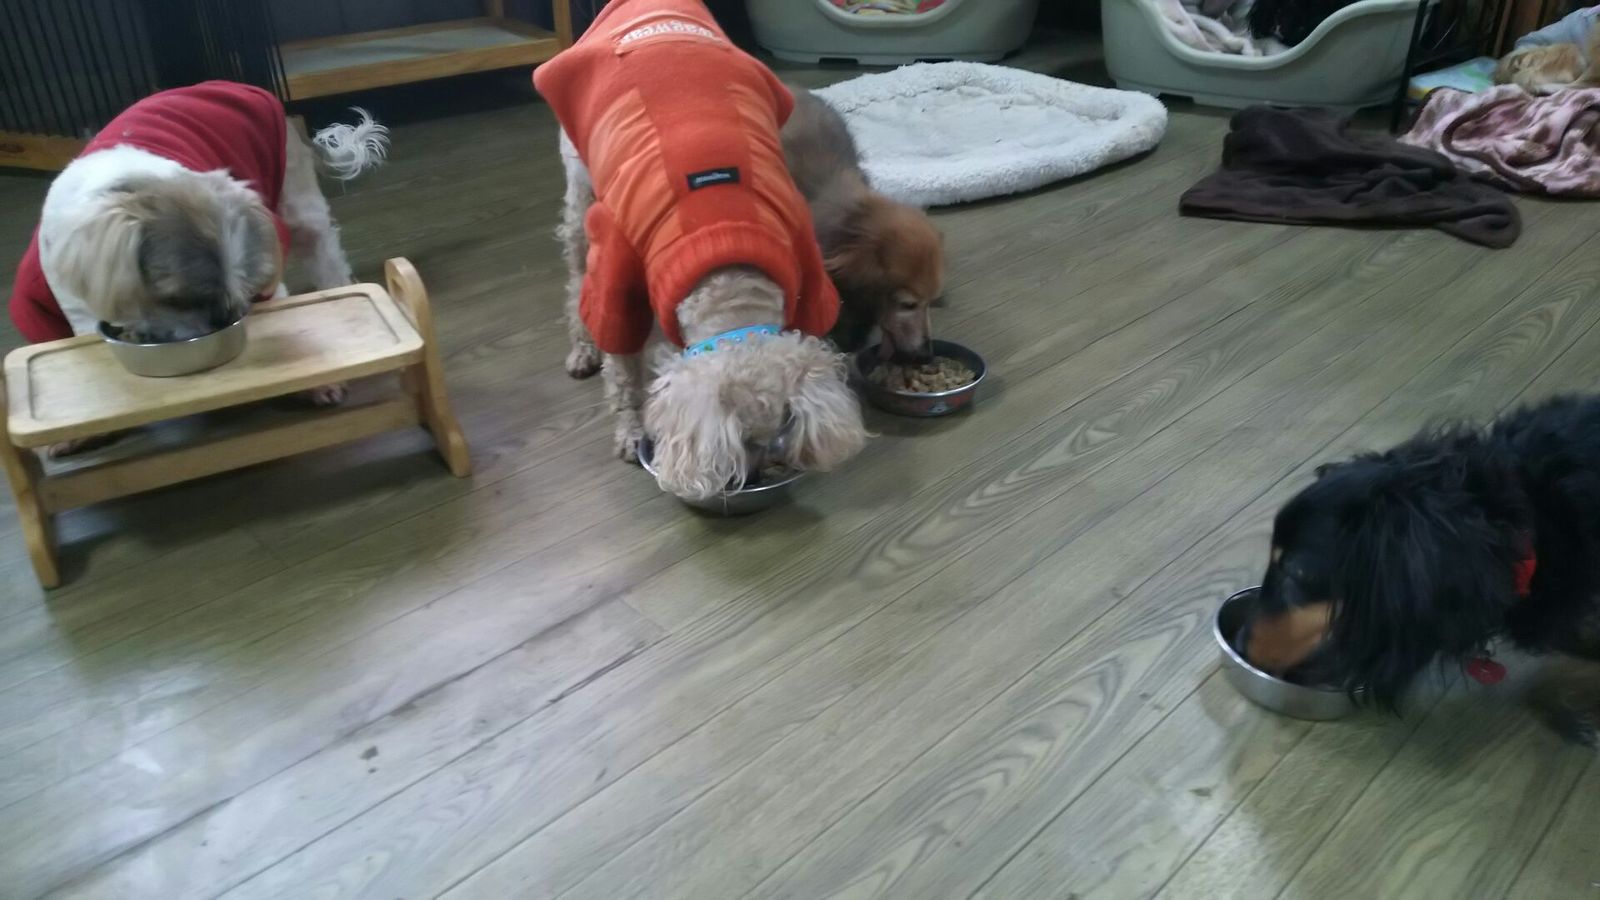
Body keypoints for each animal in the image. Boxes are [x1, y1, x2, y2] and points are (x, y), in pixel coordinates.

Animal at [9, 81, 386, 454]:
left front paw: (315, 383)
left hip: (296, 202)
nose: (222, 317)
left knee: (324, 254)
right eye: (176, 300)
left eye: (246, 296)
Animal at [535, 0, 868, 500]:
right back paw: (582, 349)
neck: (727, 271)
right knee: (576, 278)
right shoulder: (617, 271)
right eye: (742, 439)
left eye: (776, 434)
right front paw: (631, 430)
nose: (755, 477)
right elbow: (622, 362)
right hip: (580, 188)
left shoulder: (805, 261)